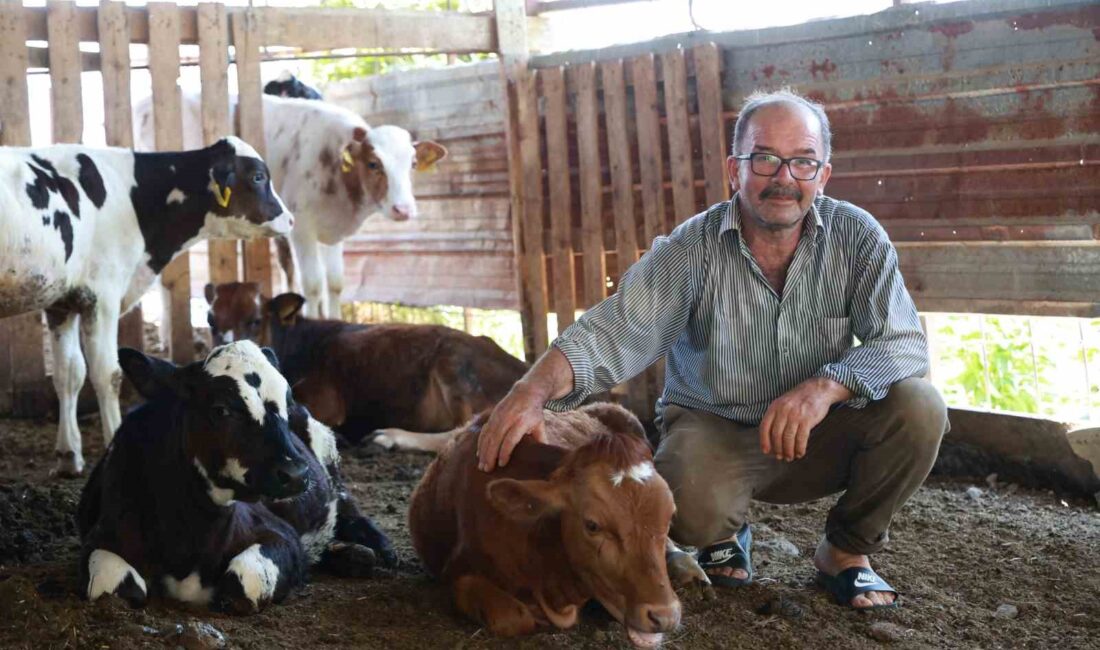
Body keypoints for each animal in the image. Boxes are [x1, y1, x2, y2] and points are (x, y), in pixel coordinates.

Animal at [0, 135, 294, 477]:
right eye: (259, 176)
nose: (290, 218)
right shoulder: (102, 295)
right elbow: (107, 374)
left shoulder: (63, 300)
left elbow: (69, 373)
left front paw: (68, 455)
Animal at [74, 340, 391, 615]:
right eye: (221, 409)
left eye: (286, 402)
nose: (297, 474)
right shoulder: (98, 540)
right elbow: (117, 588)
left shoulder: (282, 536)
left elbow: (239, 586)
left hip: (329, 458)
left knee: (348, 508)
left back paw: (378, 549)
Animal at [135, 92, 444, 321]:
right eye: (373, 164)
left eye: (412, 164)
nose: (404, 209)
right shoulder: (302, 228)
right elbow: (313, 285)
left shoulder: (333, 230)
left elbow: (335, 283)